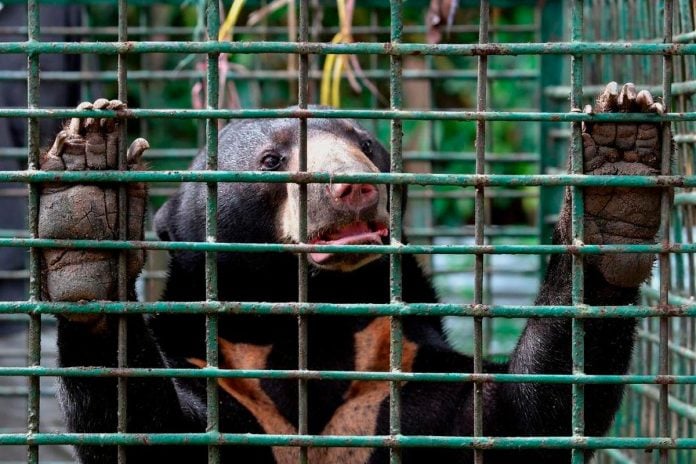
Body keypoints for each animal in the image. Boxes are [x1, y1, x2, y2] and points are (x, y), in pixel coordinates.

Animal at [38, 82, 667, 463]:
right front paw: (87, 210)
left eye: (366, 143)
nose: (354, 186)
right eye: (272, 160)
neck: (316, 334)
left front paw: (617, 171)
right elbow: (149, 430)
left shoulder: (406, 375)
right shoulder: (219, 380)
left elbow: (522, 419)